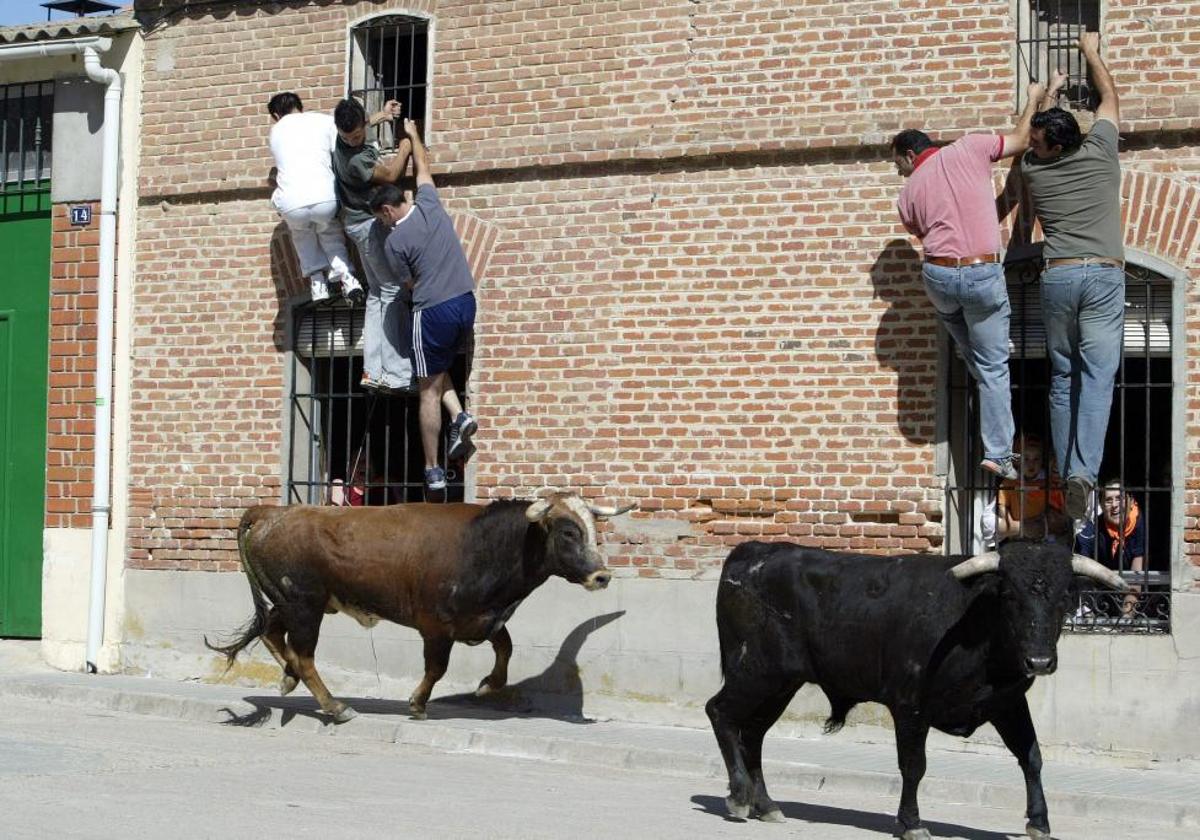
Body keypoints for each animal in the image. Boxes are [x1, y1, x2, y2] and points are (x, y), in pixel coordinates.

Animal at [206, 492, 638, 720]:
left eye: (593, 531)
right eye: (568, 532)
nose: (602, 576)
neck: (487, 544)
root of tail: (273, 512)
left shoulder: (484, 620)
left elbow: (506, 648)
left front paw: (487, 685)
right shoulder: (436, 626)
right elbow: (437, 667)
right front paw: (417, 703)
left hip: (293, 604)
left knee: (272, 633)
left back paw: (289, 678)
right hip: (304, 606)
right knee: (303, 654)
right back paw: (334, 704)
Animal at [700, 537, 1123, 840]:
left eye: (1064, 596)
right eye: (1009, 595)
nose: (1038, 661)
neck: (977, 625)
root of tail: (754, 551)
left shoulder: (1008, 702)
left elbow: (1031, 756)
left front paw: (1039, 821)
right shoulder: (910, 705)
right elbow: (914, 765)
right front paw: (911, 823)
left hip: (780, 683)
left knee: (753, 734)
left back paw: (766, 805)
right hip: (755, 672)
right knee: (719, 712)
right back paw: (739, 797)